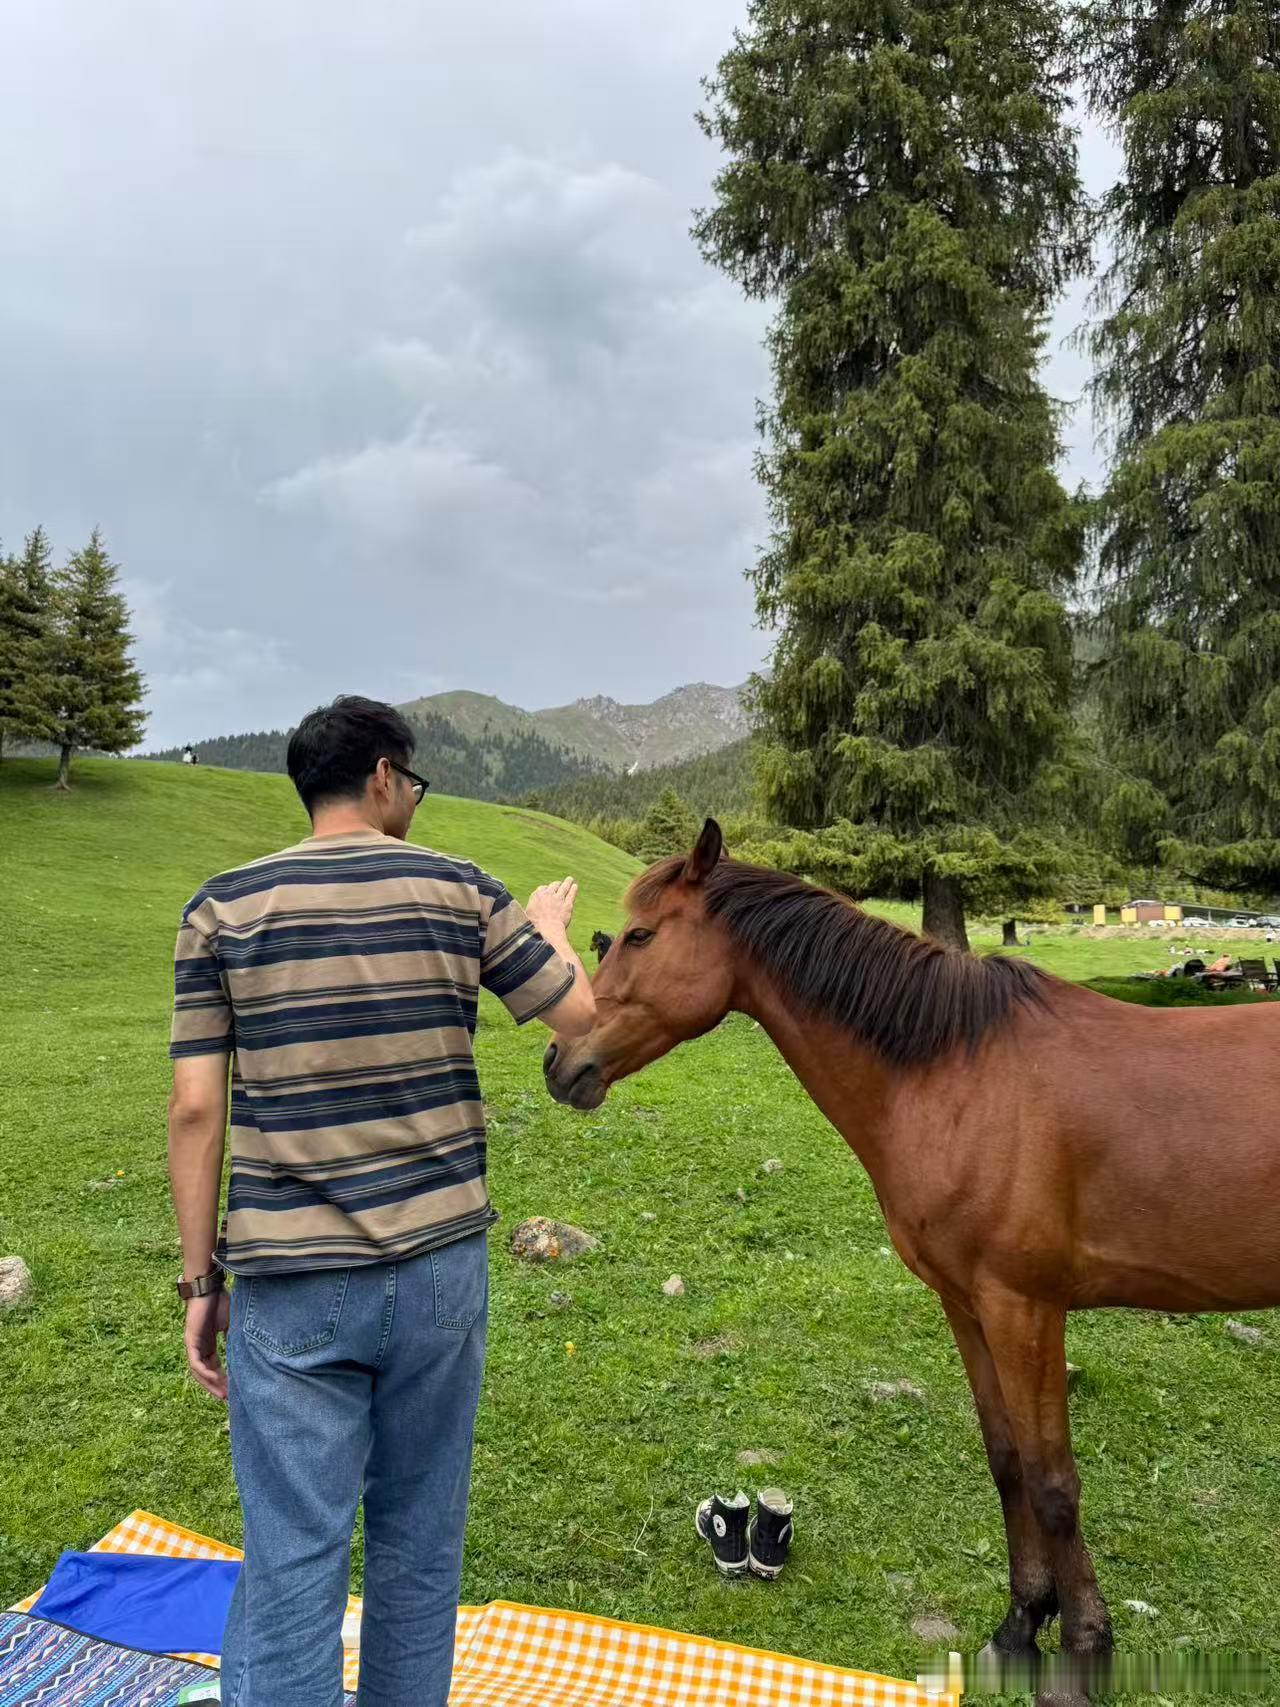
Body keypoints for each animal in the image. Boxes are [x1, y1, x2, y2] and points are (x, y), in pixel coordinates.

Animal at [543, 820, 1280, 1706]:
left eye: (641, 936)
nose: (559, 1061)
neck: (958, 1075)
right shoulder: (968, 1305)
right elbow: (1008, 1463)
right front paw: (1018, 1628)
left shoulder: (1026, 1308)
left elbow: (1054, 1483)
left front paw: (1081, 1655)